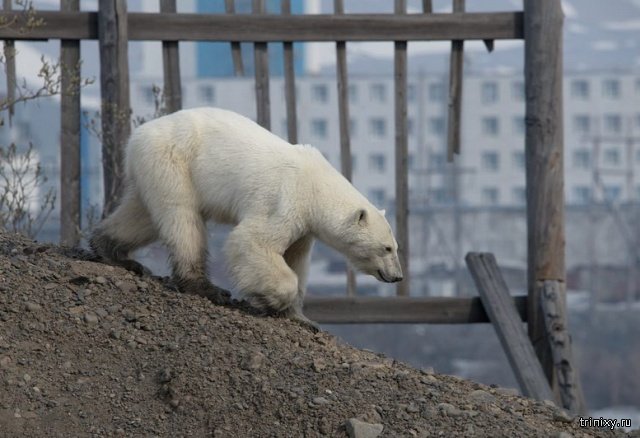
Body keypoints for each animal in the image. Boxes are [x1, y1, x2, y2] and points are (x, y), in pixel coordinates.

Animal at [90, 107, 403, 328]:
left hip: (154, 170)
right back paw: (206, 287)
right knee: (182, 219)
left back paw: (110, 249)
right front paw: (269, 301)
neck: (316, 185)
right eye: (387, 248)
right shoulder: (286, 201)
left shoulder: (304, 227)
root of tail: (138, 135)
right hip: (174, 162)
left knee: (141, 215)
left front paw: (302, 318)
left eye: (395, 247)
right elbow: (252, 241)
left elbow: (296, 259)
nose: (397, 276)